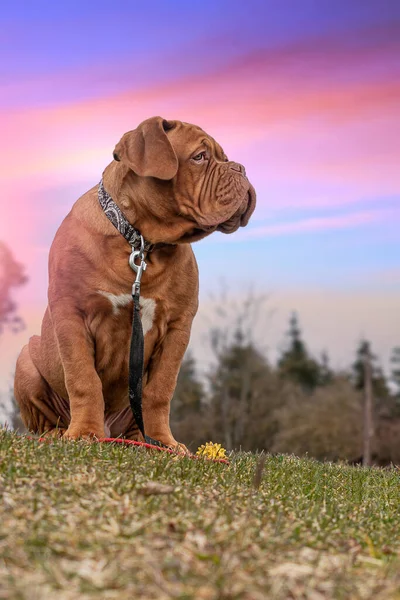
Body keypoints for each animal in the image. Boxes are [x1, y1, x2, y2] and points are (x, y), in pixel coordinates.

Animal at [14, 116, 256, 450]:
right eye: (199, 157)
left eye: (223, 157)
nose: (241, 168)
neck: (141, 241)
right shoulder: (71, 314)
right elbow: (82, 378)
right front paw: (84, 432)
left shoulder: (178, 326)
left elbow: (160, 390)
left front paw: (165, 443)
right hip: (25, 361)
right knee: (43, 419)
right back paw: (57, 433)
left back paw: (142, 439)